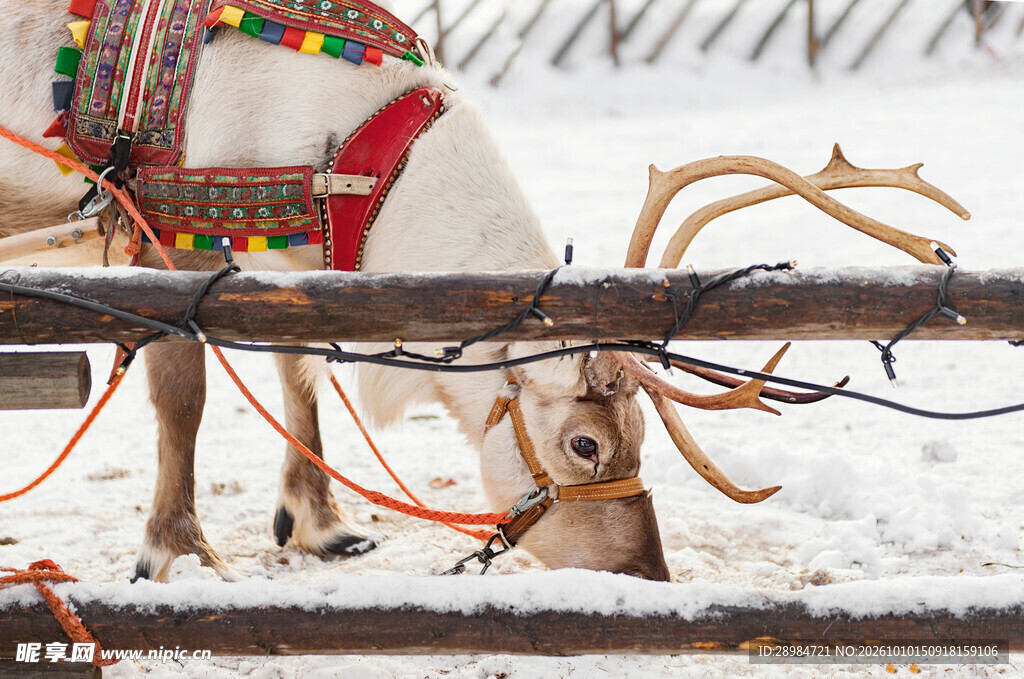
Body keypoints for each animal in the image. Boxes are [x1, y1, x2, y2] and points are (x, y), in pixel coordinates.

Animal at [0, 0, 968, 583]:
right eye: (584, 444)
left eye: (640, 434)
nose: (648, 573)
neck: (353, 159)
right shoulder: (162, 240)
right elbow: (185, 394)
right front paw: (177, 551)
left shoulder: (292, 262)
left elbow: (300, 374)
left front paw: (320, 522)